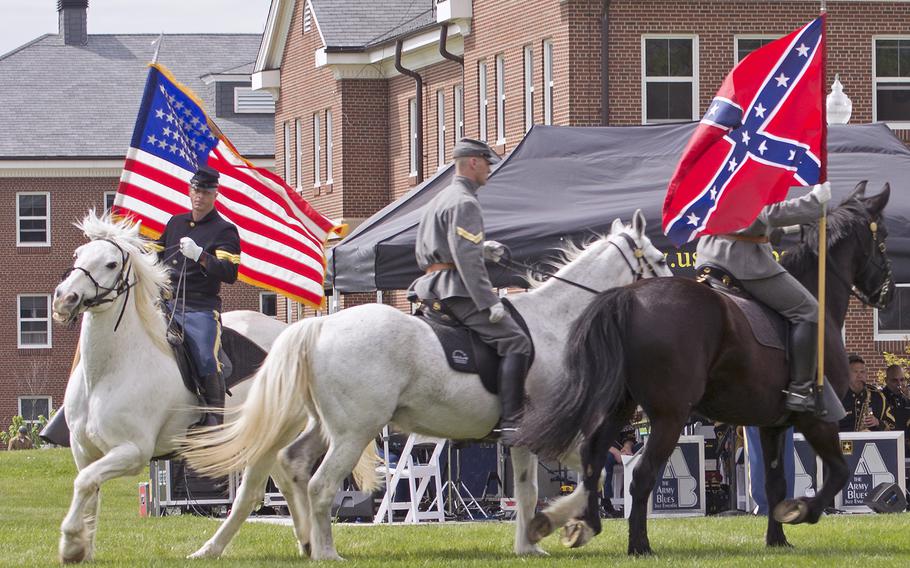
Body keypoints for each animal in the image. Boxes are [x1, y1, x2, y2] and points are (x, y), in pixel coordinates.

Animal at [51, 213, 286, 564]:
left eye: (110, 263)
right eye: (79, 254)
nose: (65, 299)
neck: (110, 370)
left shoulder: (132, 451)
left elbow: (84, 483)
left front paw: (70, 543)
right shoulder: (84, 450)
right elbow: (90, 490)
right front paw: (83, 547)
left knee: (255, 494)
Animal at [183, 211, 668, 560]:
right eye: (661, 259)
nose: (677, 293)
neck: (555, 324)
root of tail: (319, 326)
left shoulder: (525, 439)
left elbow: (534, 488)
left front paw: (533, 541)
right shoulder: (546, 432)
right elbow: (581, 475)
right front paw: (557, 526)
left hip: (326, 428)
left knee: (292, 466)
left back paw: (295, 543)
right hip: (354, 432)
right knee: (320, 485)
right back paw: (326, 553)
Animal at [524, 183, 896, 556]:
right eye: (882, 238)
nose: (888, 295)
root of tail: (629, 296)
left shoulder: (773, 425)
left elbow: (776, 483)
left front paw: (777, 539)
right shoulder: (818, 419)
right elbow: (838, 472)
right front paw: (802, 511)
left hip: (621, 407)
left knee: (593, 457)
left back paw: (584, 524)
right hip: (670, 417)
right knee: (641, 476)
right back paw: (639, 544)